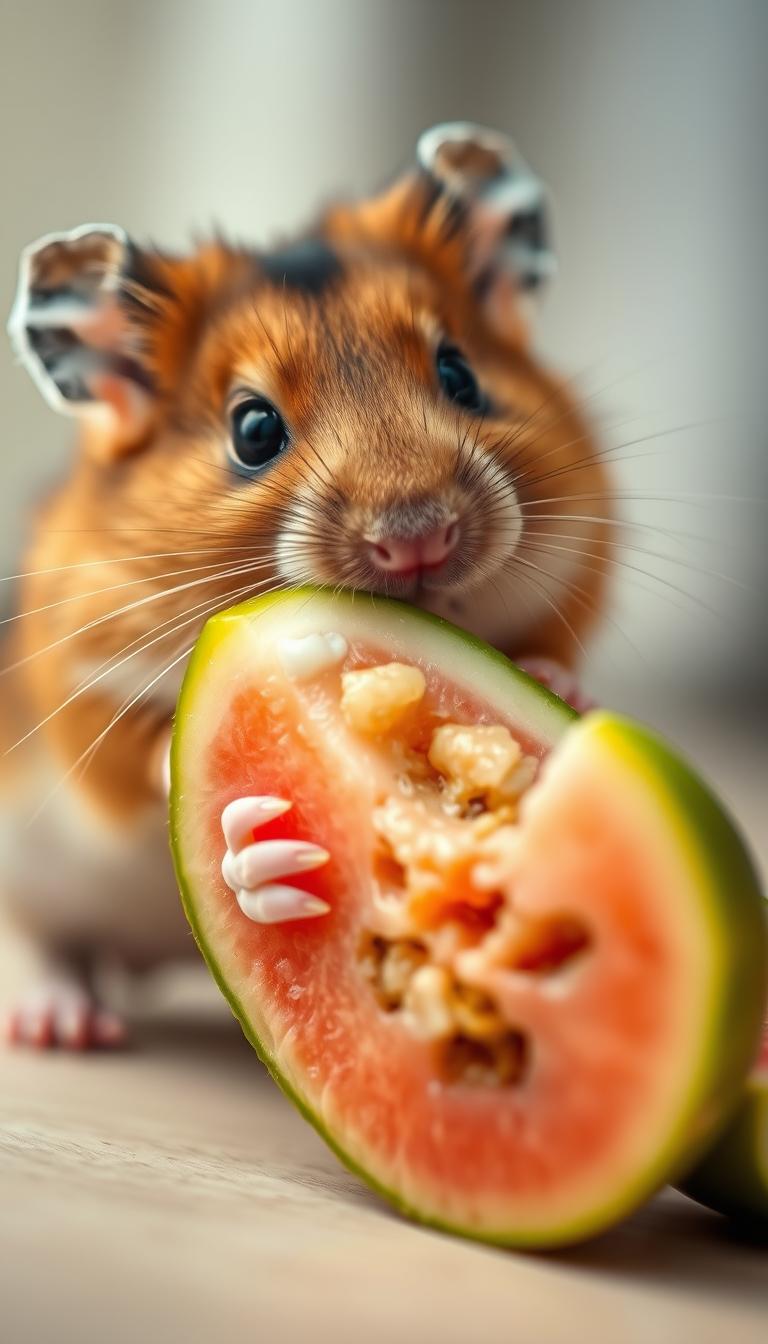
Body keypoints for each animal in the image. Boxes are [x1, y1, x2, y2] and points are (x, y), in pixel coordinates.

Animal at [2, 122, 611, 1048]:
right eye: (253, 429)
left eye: (461, 376)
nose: (417, 537)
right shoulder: (81, 698)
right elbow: (154, 764)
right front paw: (265, 846)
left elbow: (553, 656)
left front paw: (555, 687)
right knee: (39, 941)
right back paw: (64, 1024)